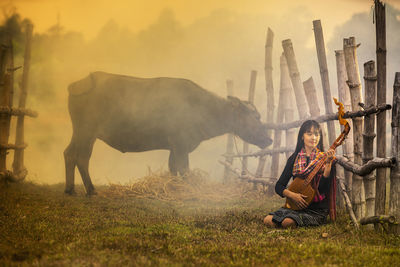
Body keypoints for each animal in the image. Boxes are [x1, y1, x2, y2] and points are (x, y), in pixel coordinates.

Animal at [65, 72, 272, 196]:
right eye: (256, 116)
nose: (269, 139)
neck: (201, 108)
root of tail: (80, 83)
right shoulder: (181, 144)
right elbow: (184, 169)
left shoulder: (175, 146)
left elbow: (173, 168)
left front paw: (174, 188)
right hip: (87, 131)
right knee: (82, 157)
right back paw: (91, 190)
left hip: (80, 132)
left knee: (69, 153)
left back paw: (70, 189)